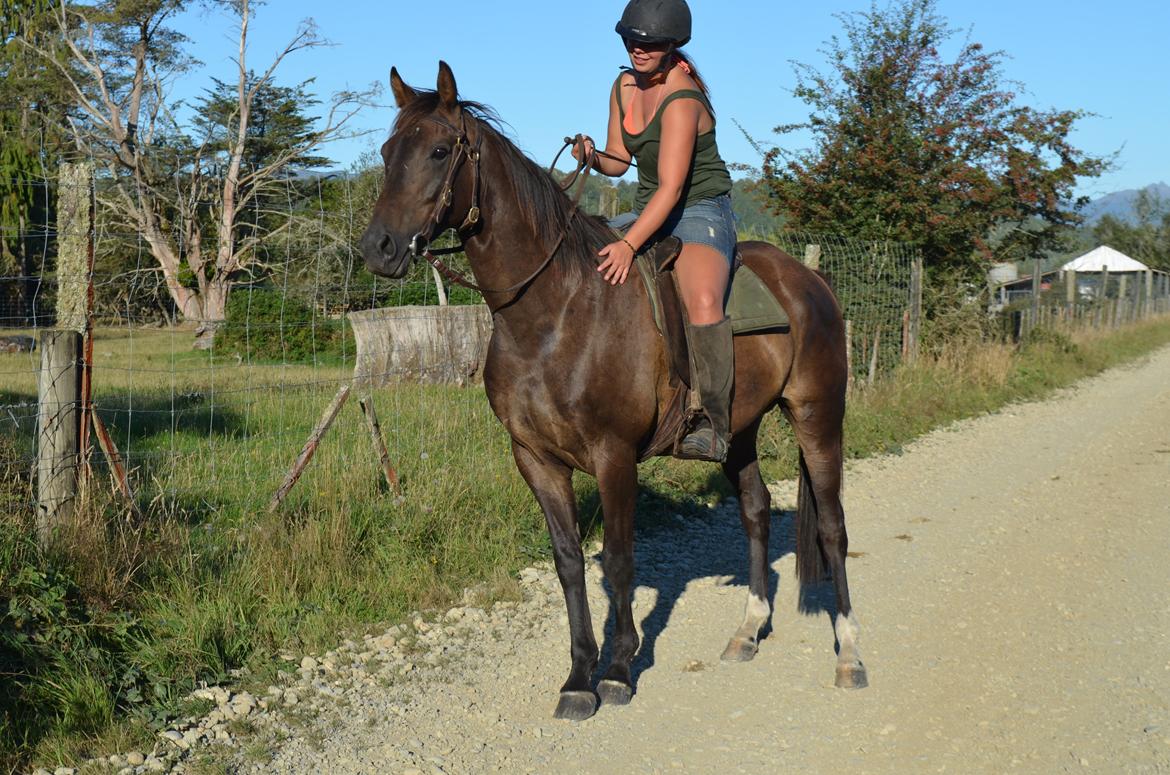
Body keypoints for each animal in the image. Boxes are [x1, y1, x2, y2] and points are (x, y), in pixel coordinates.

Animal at [361, 62, 867, 721]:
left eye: (441, 150)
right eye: (387, 151)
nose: (378, 249)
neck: (554, 312)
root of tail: (809, 280)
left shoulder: (614, 455)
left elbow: (621, 561)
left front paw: (620, 670)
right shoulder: (536, 459)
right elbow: (571, 564)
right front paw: (579, 676)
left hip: (816, 414)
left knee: (832, 526)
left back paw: (850, 655)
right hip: (739, 428)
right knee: (755, 511)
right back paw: (746, 632)